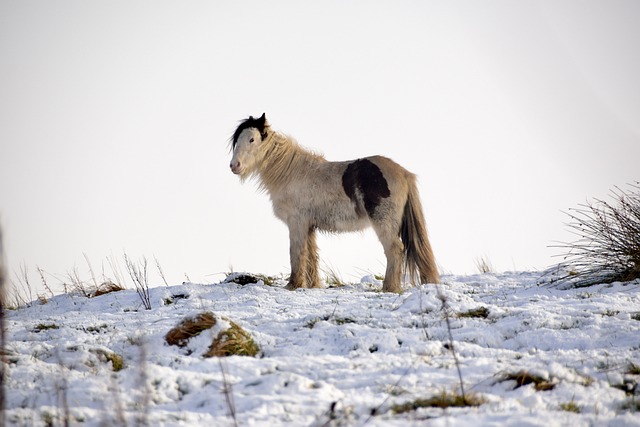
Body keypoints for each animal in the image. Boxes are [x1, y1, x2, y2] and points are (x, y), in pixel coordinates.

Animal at [230, 113, 440, 294]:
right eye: (237, 140)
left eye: (252, 139)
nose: (234, 166)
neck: (292, 173)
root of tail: (404, 173)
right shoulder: (309, 226)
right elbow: (311, 255)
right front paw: (313, 285)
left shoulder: (297, 223)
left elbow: (296, 253)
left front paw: (293, 285)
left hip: (384, 223)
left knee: (395, 250)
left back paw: (389, 288)